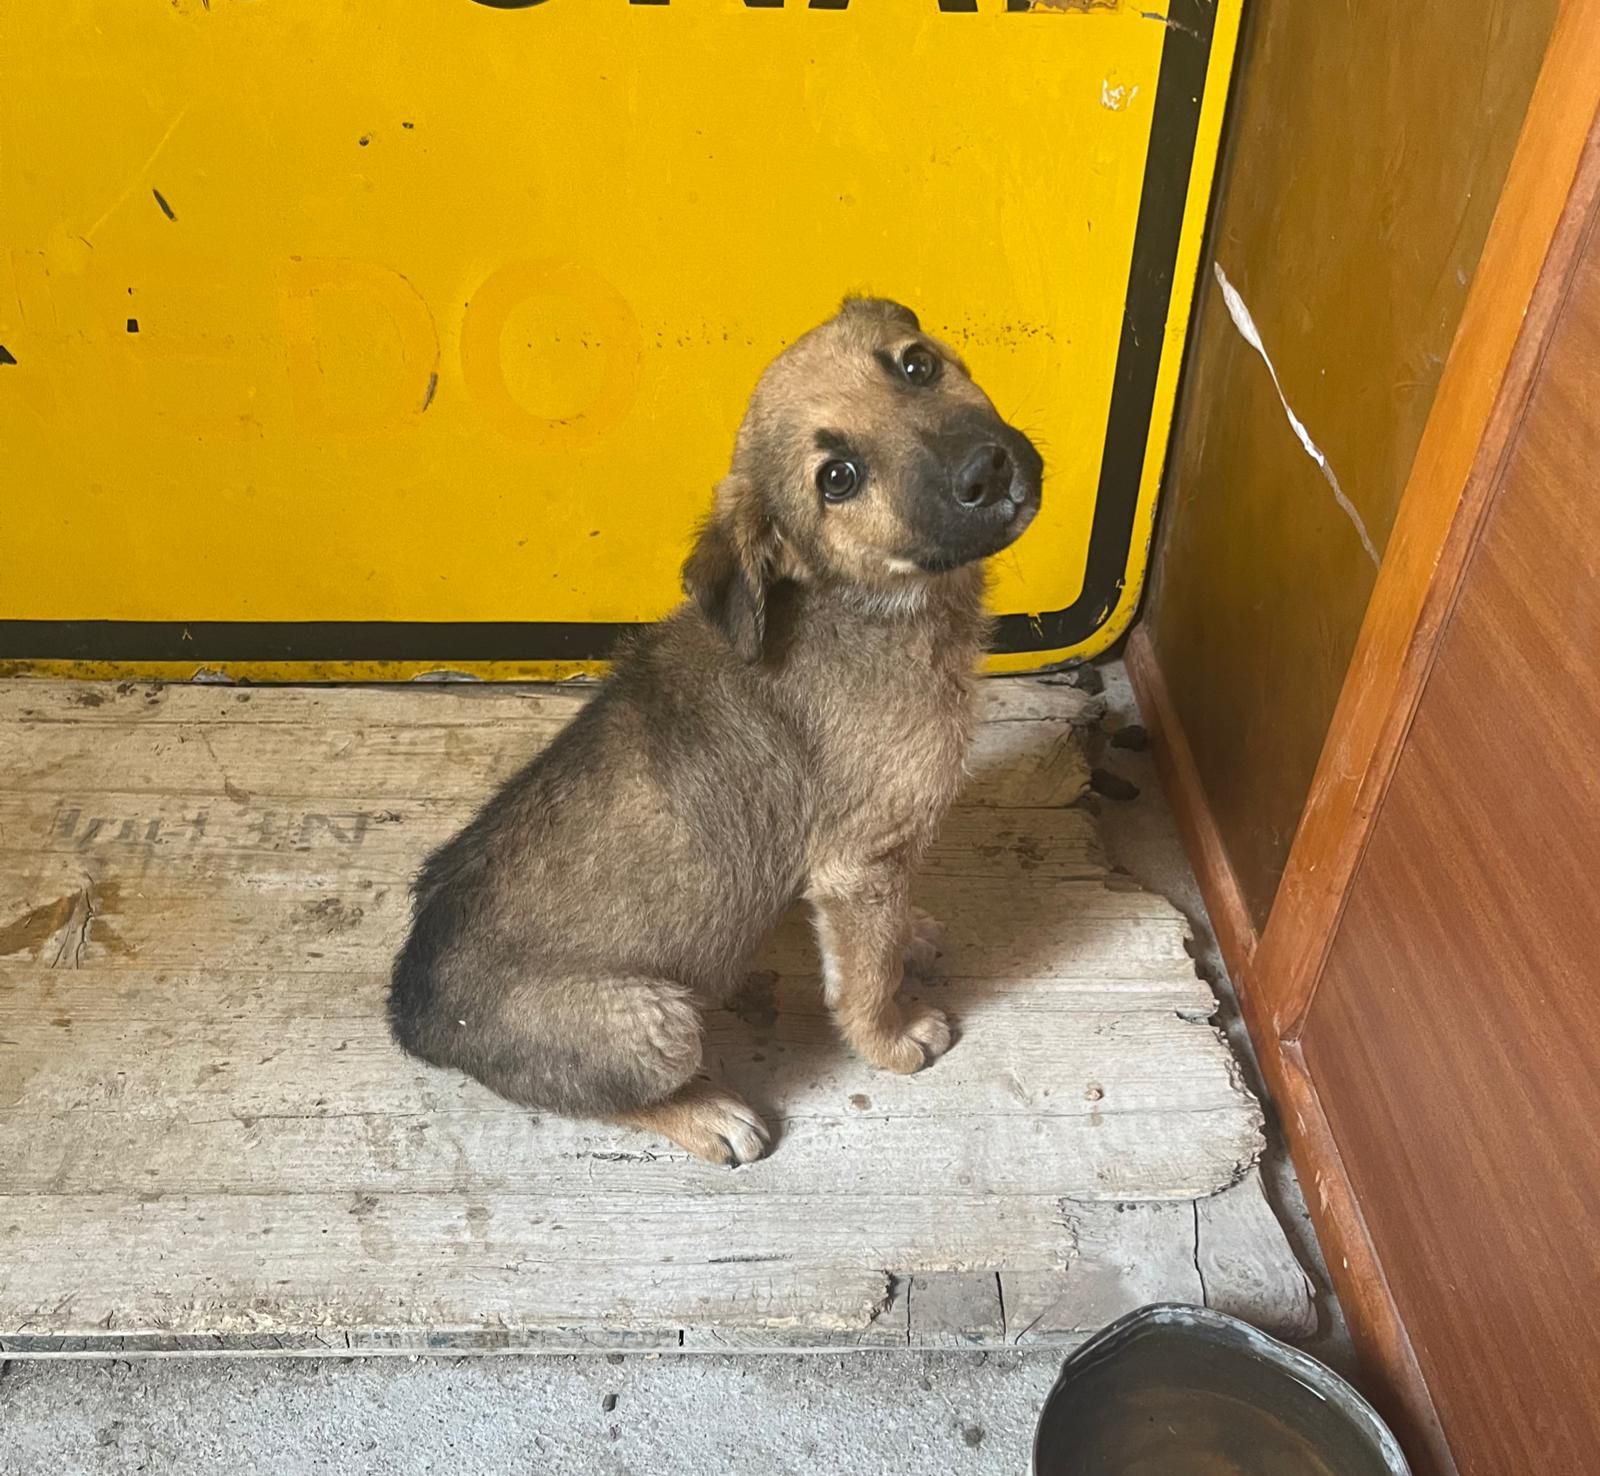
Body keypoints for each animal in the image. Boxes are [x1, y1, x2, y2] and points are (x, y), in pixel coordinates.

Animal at [389, 296, 1043, 1164]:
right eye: (837, 479)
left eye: (916, 365)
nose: (987, 470)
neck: (859, 603)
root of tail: (412, 1009)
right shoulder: (858, 863)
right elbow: (864, 977)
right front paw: (894, 1039)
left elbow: (883, 935)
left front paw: (913, 932)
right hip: (659, 1021)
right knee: (619, 1097)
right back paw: (711, 1116)